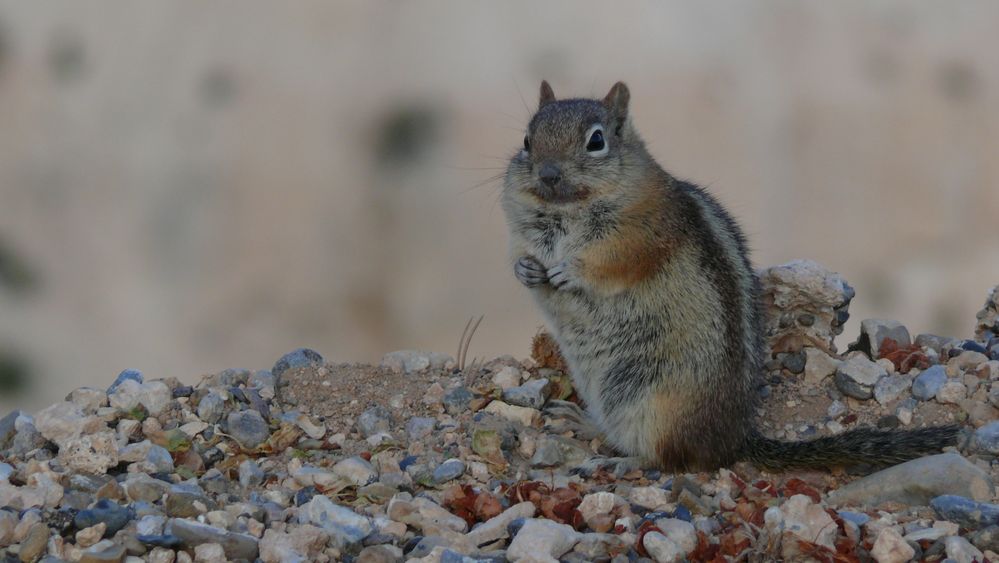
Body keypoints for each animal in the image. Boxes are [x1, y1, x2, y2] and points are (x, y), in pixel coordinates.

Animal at [504, 80, 956, 472]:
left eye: (595, 141)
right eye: (526, 140)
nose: (547, 174)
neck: (564, 211)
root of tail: (734, 440)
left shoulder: (642, 235)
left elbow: (614, 262)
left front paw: (569, 269)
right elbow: (522, 255)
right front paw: (526, 269)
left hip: (661, 408)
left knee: (671, 459)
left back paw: (624, 461)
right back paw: (583, 422)